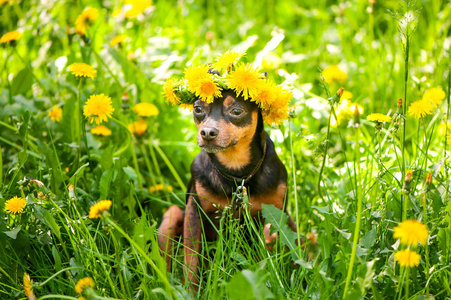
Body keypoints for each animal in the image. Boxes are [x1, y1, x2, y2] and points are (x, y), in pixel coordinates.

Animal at [157, 88, 298, 290]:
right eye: (198, 108)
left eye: (236, 111)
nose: (207, 132)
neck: (237, 172)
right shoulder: (194, 211)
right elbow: (191, 260)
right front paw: (190, 291)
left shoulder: (279, 214)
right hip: (172, 216)